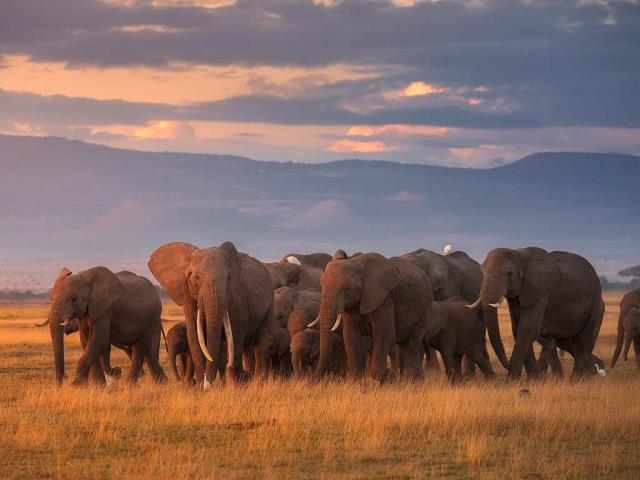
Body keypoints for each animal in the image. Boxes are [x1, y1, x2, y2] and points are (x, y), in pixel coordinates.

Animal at [148, 241, 274, 387]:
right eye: (195, 276)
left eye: (228, 278)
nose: (207, 383)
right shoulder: (188, 295)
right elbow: (194, 336)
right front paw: (200, 387)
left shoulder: (237, 299)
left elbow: (235, 334)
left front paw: (235, 386)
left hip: (270, 303)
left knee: (262, 343)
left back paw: (258, 382)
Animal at [315, 250, 431, 382]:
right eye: (321, 286)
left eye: (347, 288)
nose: (315, 379)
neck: (356, 262)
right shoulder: (352, 303)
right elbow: (350, 335)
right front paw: (356, 381)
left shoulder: (384, 298)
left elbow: (382, 332)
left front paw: (378, 378)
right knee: (403, 344)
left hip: (425, 308)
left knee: (413, 342)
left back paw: (410, 380)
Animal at [468, 247, 604, 379]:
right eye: (482, 273)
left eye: (509, 273)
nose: (508, 365)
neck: (519, 254)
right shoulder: (517, 295)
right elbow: (517, 328)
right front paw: (531, 379)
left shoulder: (541, 291)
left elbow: (527, 328)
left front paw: (512, 380)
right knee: (569, 344)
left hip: (595, 306)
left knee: (584, 343)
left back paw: (576, 380)